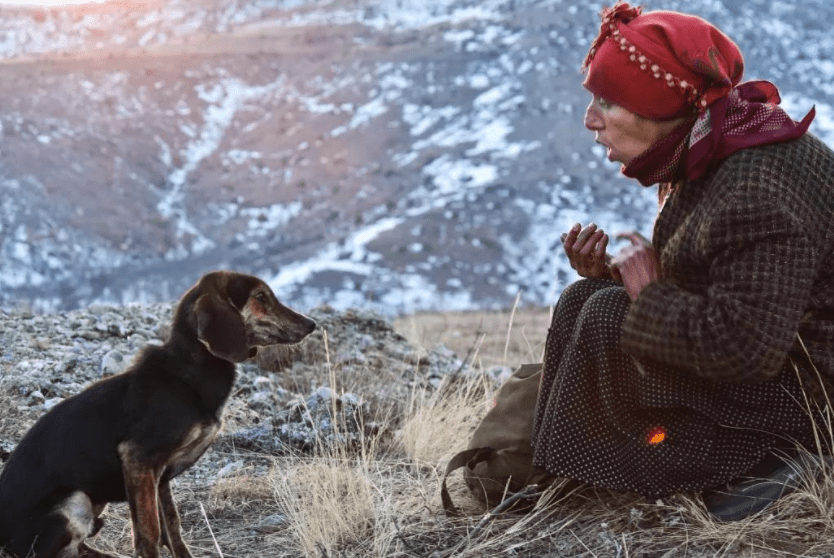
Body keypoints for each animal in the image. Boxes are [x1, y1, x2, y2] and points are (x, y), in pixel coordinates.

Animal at [0, 272, 316, 558]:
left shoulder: (160, 475)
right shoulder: (138, 459)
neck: (190, 370)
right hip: (76, 501)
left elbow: (172, 525)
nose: (312, 324)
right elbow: (149, 532)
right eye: (260, 297)